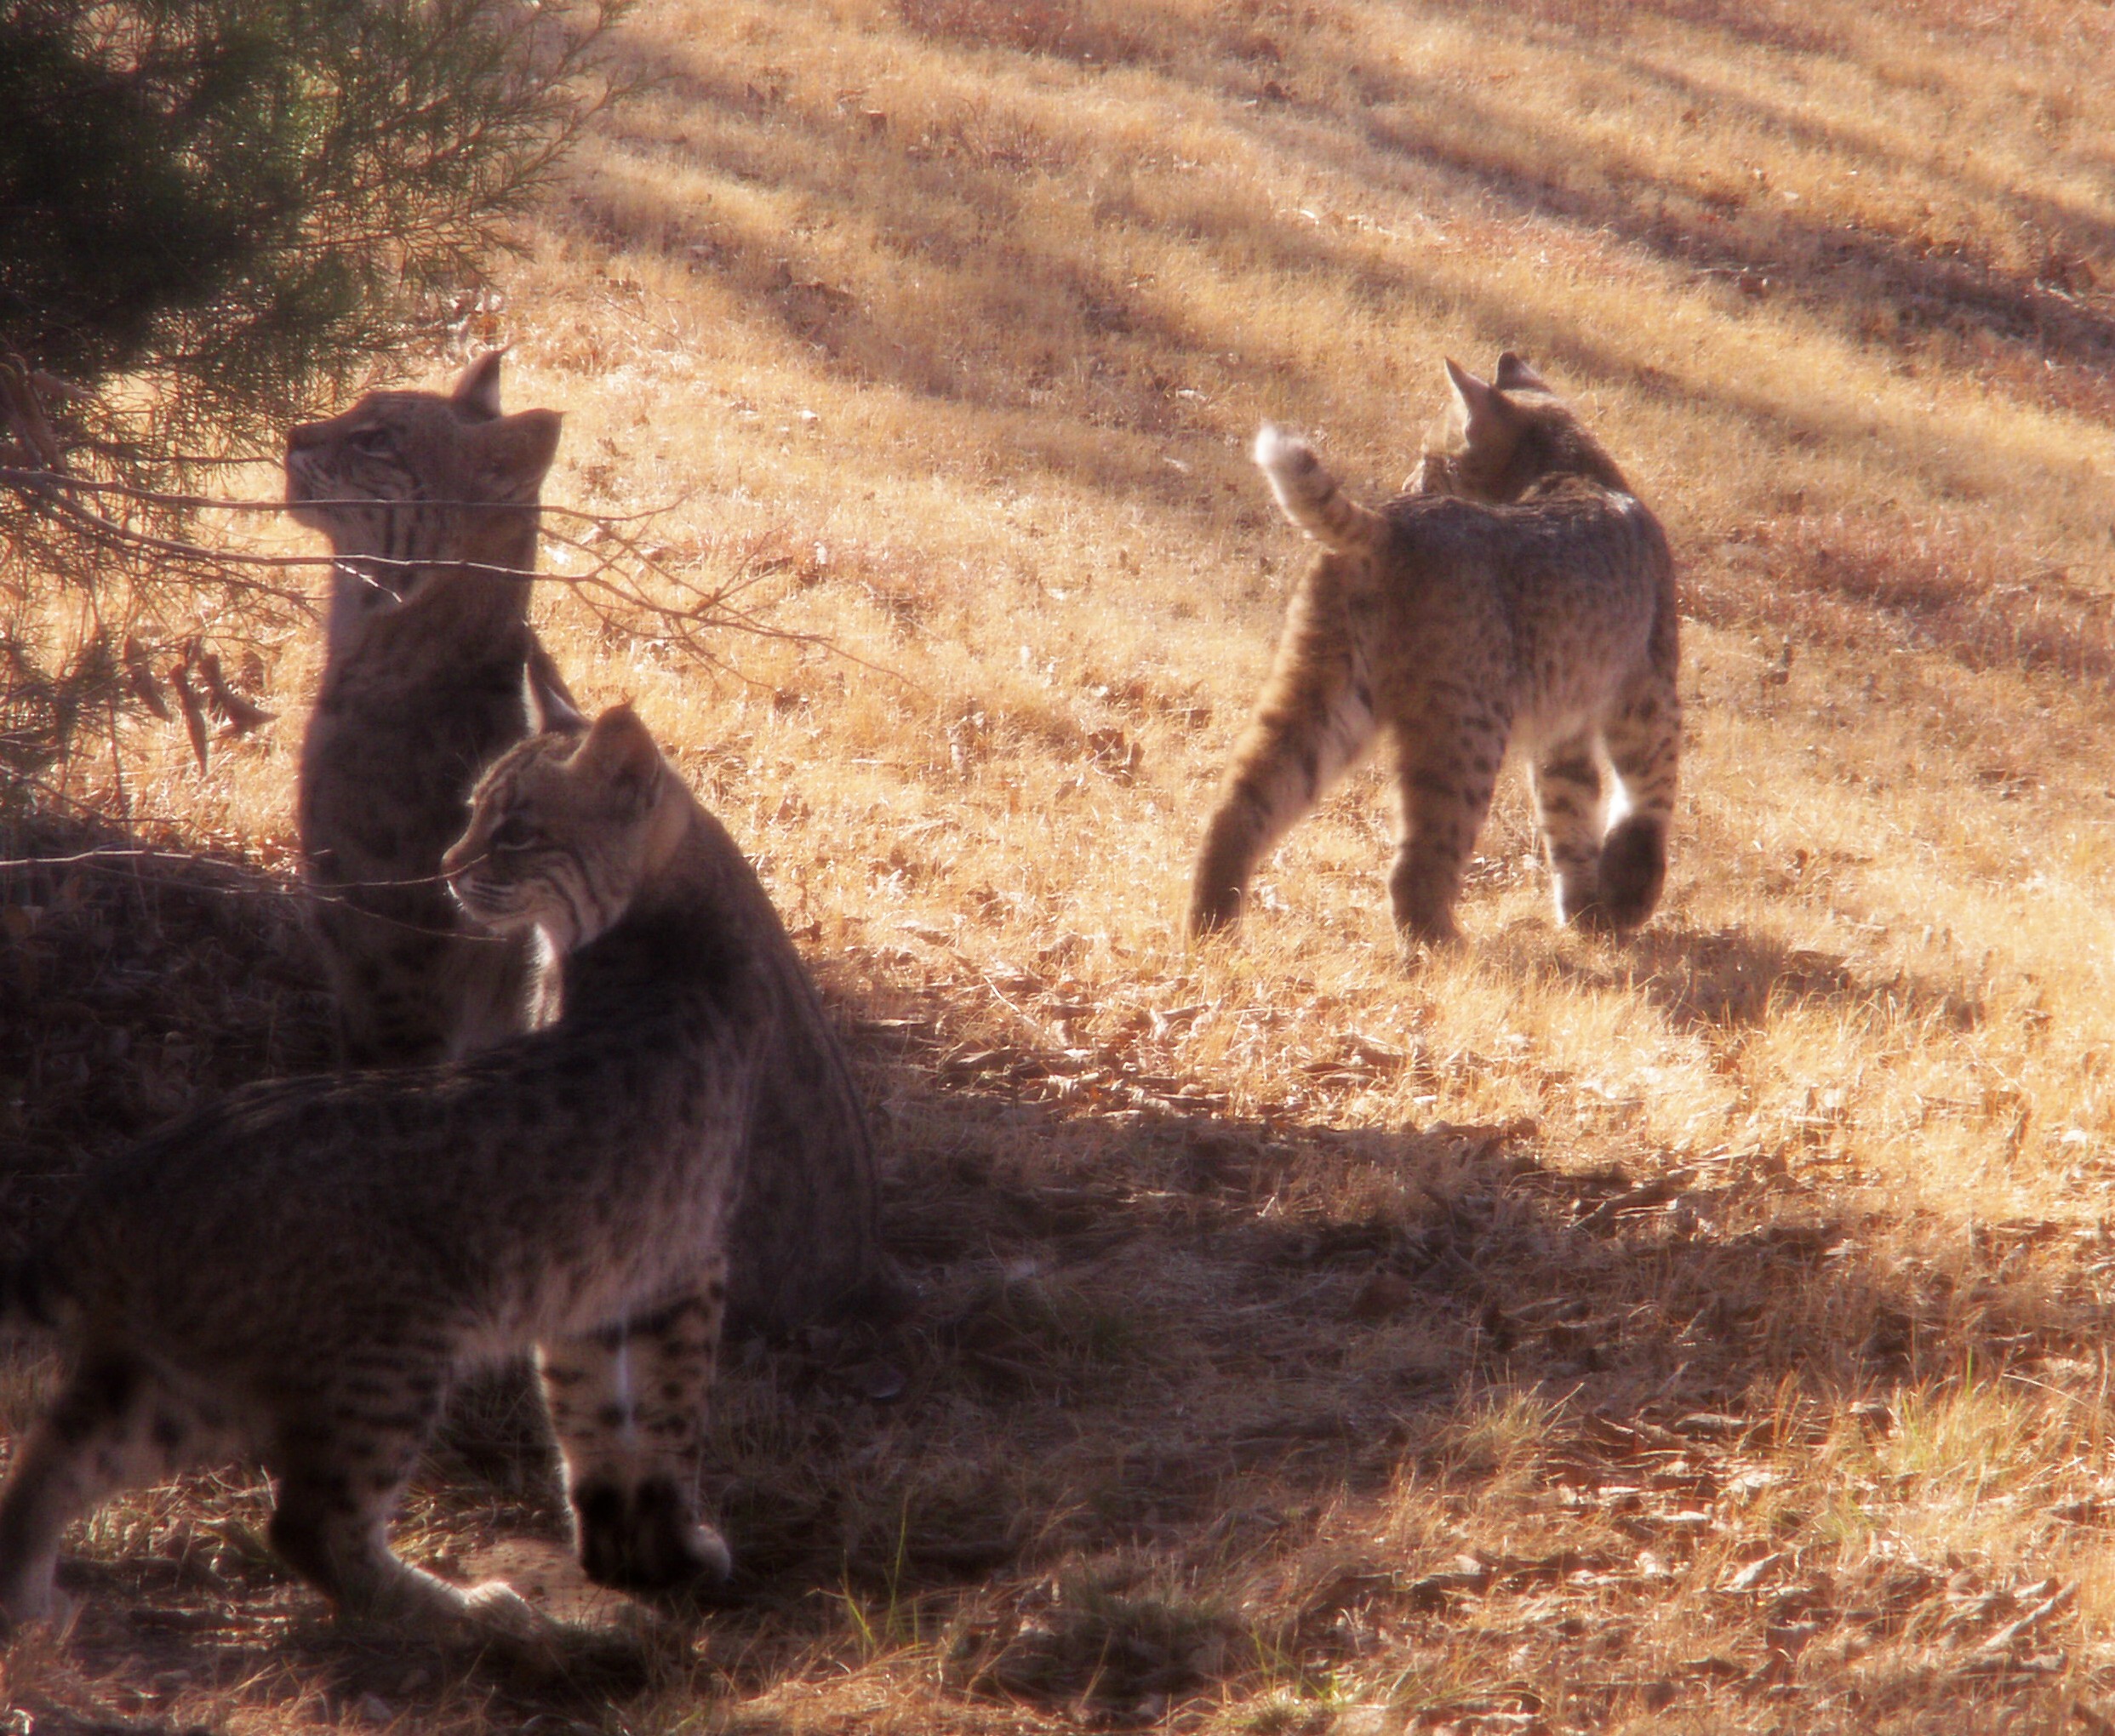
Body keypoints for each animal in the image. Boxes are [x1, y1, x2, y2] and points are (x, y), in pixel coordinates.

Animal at [0, 705, 778, 1649]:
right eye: (479, 816)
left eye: (517, 833)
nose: (446, 869)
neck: (666, 897)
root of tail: (141, 1167)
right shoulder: (684, 1262)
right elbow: (667, 1411)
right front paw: (672, 1551)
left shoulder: (613, 1277)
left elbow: (594, 1412)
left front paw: (627, 1555)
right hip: (392, 1354)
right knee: (306, 1525)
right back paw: (473, 1616)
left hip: (185, 1380)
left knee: (57, 1451)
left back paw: (26, 1602)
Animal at [1201, 355, 1675, 947]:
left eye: (1430, 459)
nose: (1411, 481)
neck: (1577, 468)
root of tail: (1389, 522)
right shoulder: (1648, 688)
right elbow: (1649, 791)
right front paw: (1629, 899)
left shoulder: (1567, 724)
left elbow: (1570, 804)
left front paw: (1588, 913)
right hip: (1469, 724)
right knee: (1420, 861)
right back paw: (1446, 949)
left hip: (1329, 686)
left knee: (1240, 803)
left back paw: (1211, 927)